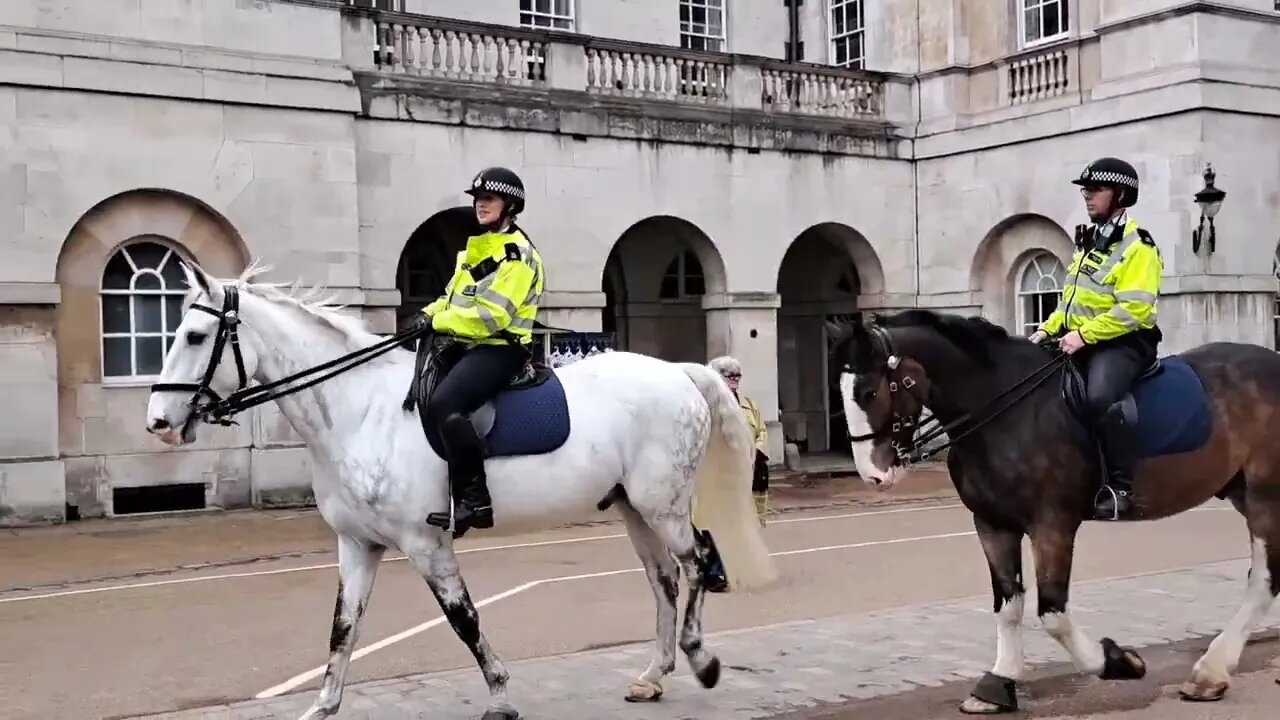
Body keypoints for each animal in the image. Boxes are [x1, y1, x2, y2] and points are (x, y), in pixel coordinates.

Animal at [145, 262, 773, 717]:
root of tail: (677, 371)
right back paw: (653, 675)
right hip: (634, 508)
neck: (360, 411)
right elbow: (343, 628)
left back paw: (700, 660)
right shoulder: (357, 545)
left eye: (195, 335)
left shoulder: (426, 544)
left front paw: (499, 694)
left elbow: (463, 619)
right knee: (664, 579)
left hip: (662, 505)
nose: (159, 422)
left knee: (697, 563)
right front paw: (323, 706)